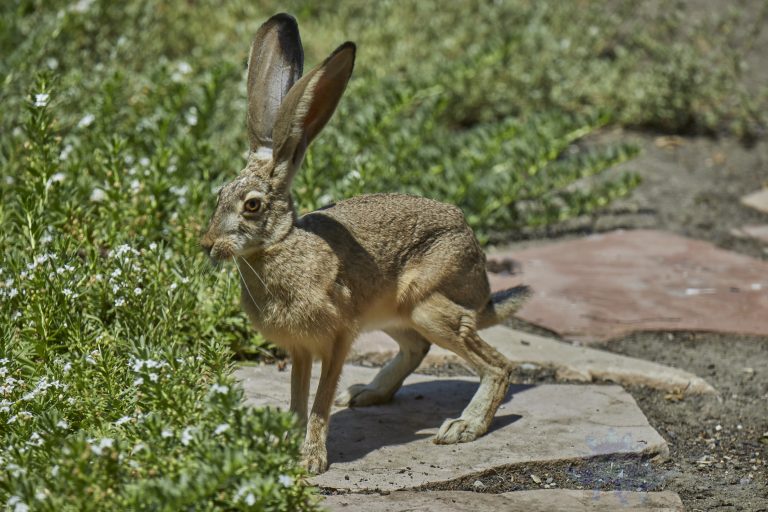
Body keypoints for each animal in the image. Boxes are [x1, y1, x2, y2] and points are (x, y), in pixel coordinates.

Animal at [200, 12, 531, 474]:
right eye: (219, 194)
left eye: (252, 205)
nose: (208, 244)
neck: (281, 244)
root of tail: (481, 280)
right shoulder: (300, 349)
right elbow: (297, 396)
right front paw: (285, 445)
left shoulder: (337, 338)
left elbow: (319, 402)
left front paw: (312, 460)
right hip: (392, 313)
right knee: (417, 347)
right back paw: (365, 394)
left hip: (428, 304)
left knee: (498, 366)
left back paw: (463, 427)